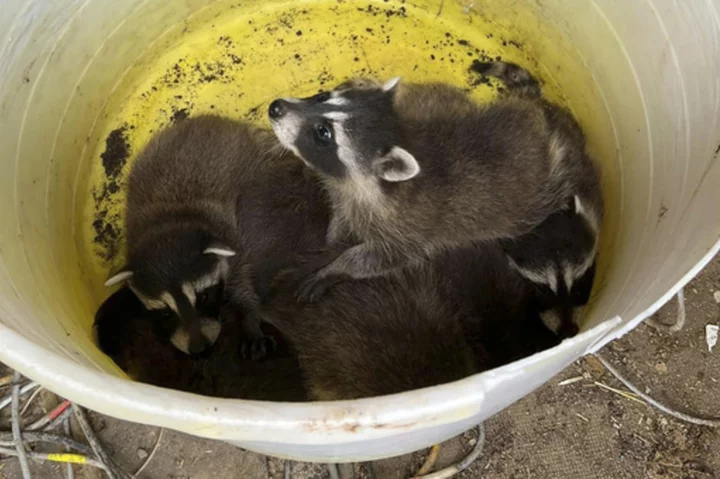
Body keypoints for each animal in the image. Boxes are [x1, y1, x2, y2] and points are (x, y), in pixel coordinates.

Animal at [104, 115, 330, 356]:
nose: (199, 348)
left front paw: (249, 317)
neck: (167, 223)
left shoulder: (232, 237)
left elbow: (242, 283)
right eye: (165, 312)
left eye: (203, 297)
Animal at [270, 65, 580, 302]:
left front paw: (337, 267)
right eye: (323, 95)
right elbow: (341, 218)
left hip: (538, 198)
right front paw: (331, 239)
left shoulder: (407, 231)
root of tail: (533, 115)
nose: (275, 107)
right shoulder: (346, 195)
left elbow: (377, 259)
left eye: (324, 133)